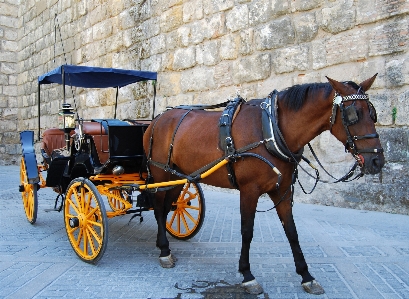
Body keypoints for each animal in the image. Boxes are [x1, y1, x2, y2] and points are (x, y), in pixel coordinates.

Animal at [143, 75, 382, 296]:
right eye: (353, 115)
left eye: (373, 113)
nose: (377, 160)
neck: (271, 131)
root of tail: (156, 120)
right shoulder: (249, 191)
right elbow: (247, 231)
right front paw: (247, 275)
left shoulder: (282, 191)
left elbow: (292, 231)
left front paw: (306, 275)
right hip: (160, 173)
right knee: (158, 208)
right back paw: (164, 251)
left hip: (178, 177)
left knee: (168, 208)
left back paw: (163, 244)